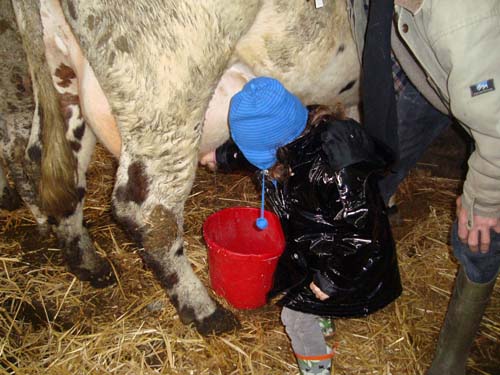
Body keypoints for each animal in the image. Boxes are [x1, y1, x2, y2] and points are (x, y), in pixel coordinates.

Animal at [0, 0, 360, 334]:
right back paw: (206, 312)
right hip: (171, 88)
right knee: (149, 213)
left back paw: (88, 264)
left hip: (61, 71)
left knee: (48, 163)